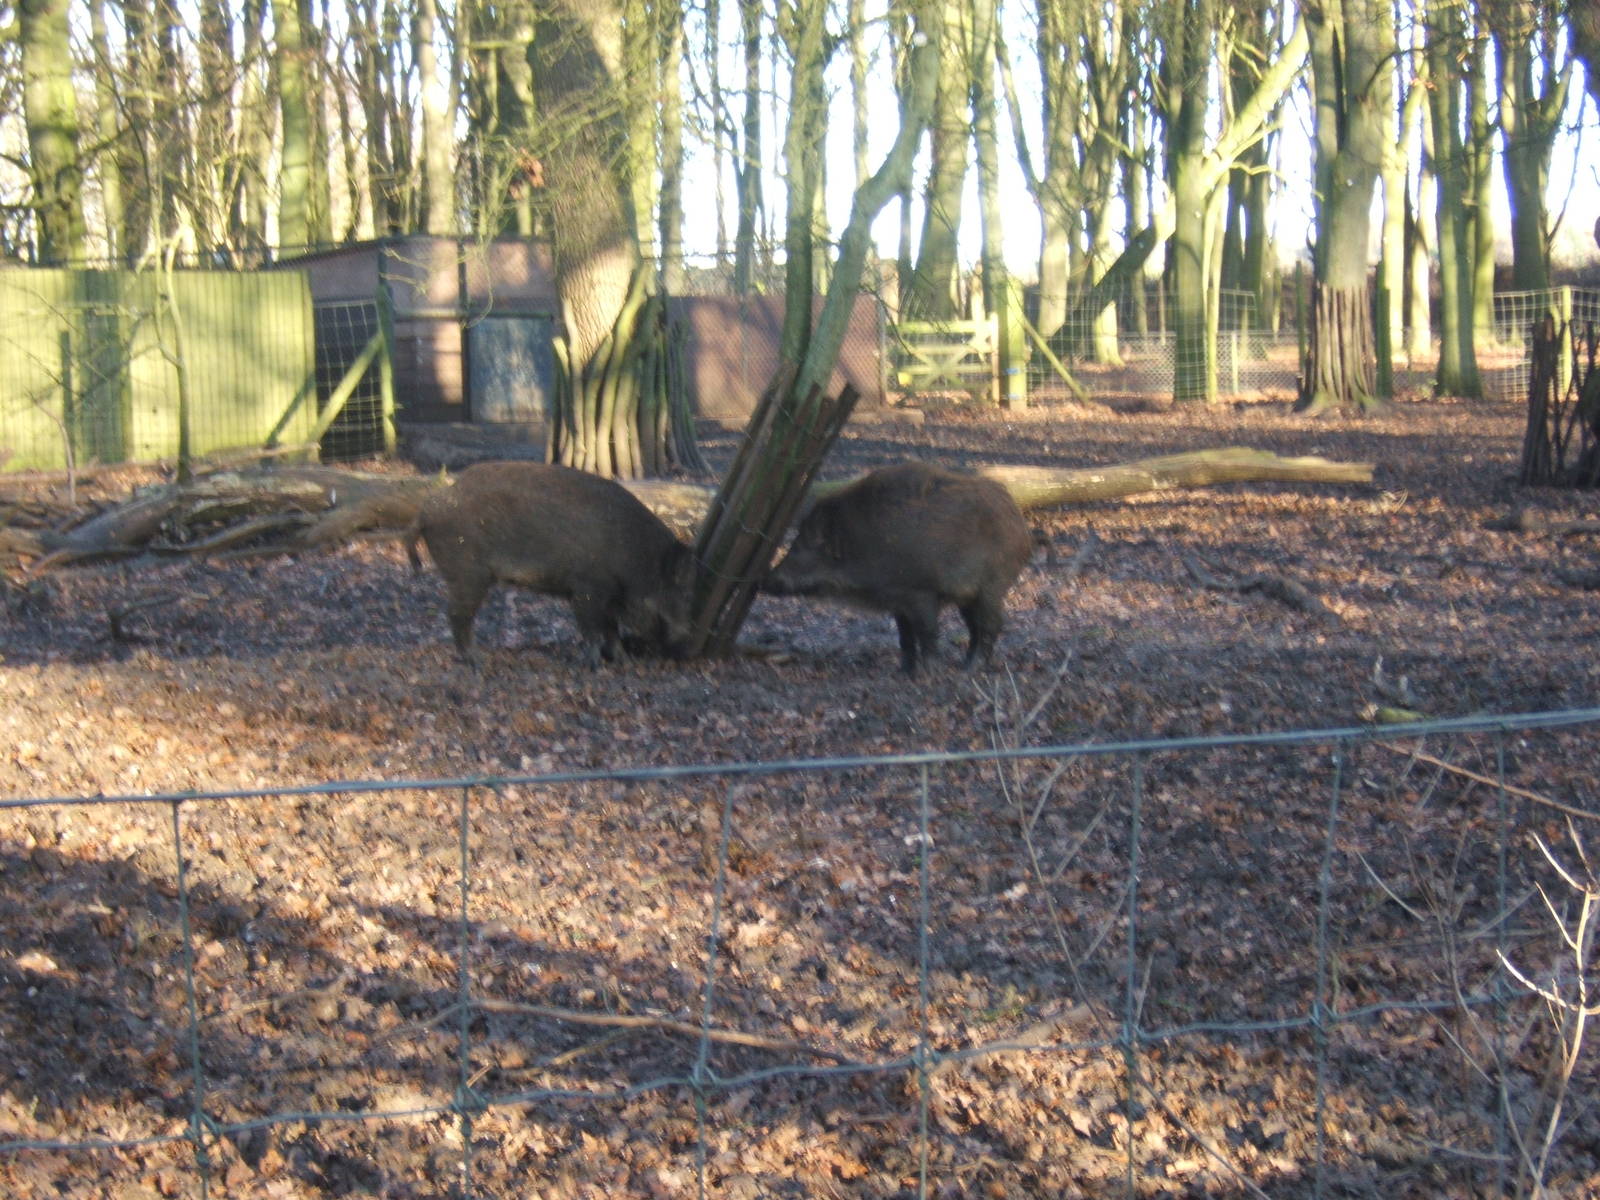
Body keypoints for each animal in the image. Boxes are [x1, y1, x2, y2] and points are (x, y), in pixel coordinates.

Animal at [405, 461, 695, 667]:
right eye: (681, 593)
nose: (683, 648)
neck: (637, 561)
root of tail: (425, 511)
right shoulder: (587, 587)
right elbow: (592, 627)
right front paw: (593, 664)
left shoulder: (608, 595)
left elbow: (611, 628)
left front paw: (624, 661)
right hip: (468, 572)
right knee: (456, 614)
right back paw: (477, 660)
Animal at [763, 462, 1033, 675]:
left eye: (800, 549)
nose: (765, 579)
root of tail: (1020, 523)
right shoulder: (897, 600)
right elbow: (905, 637)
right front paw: (903, 672)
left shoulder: (920, 592)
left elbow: (927, 631)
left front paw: (927, 674)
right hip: (967, 596)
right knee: (974, 627)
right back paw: (963, 665)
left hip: (992, 585)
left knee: (991, 624)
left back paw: (971, 670)